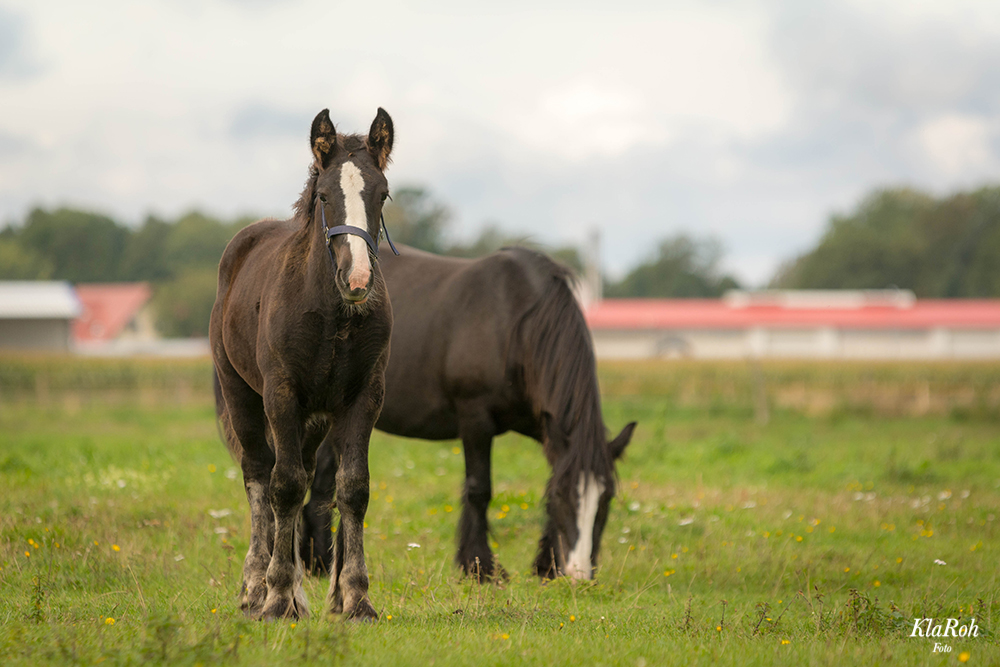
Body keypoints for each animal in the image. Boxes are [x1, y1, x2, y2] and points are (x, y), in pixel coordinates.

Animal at [211, 105, 394, 620]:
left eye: (382, 194)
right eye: (324, 196)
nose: (357, 278)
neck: (331, 315)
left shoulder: (363, 397)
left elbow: (352, 488)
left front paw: (354, 597)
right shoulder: (281, 393)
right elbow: (285, 486)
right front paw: (275, 596)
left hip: (313, 419)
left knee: (303, 474)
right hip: (242, 395)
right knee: (260, 475)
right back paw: (255, 588)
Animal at [300, 245, 636, 580]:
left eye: (606, 498)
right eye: (564, 498)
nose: (579, 574)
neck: (515, 324)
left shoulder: (545, 428)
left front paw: (546, 564)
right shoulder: (476, 419)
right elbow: (479, 489)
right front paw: (480, 566)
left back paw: (320, 561)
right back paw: (317, 563)